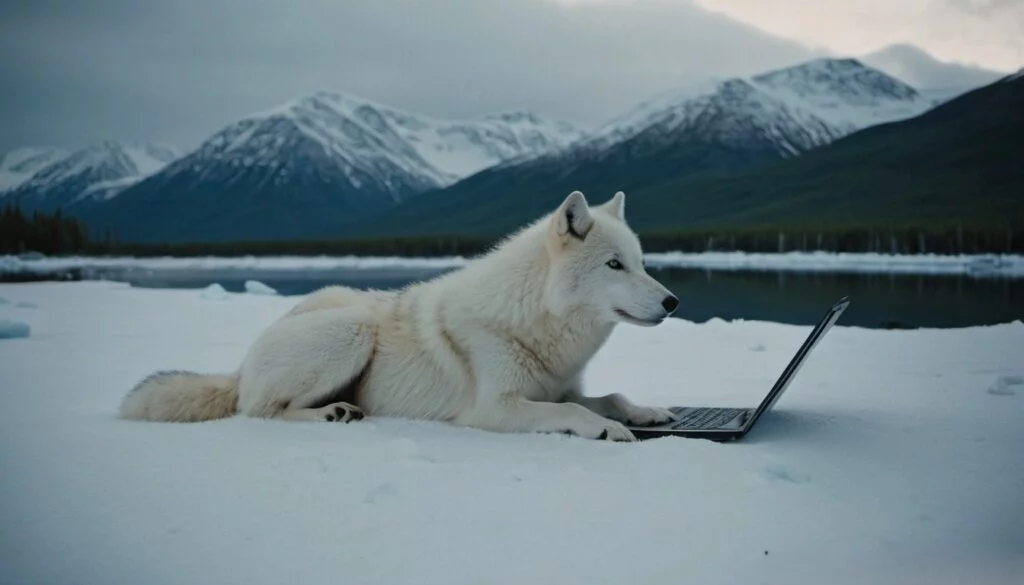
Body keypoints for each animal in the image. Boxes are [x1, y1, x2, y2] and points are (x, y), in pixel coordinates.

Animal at [119, 190, 681, 441]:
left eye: (642, 263)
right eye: (614, 265)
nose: (674, 303)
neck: (536, 319)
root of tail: (241, 364)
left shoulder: (561, 387)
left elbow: (609, 397)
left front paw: (645, 412)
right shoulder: (495, 409)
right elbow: (577, 414)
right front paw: (607, 430)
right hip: (351, 331)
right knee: (259, 411)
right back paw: (331, 414)